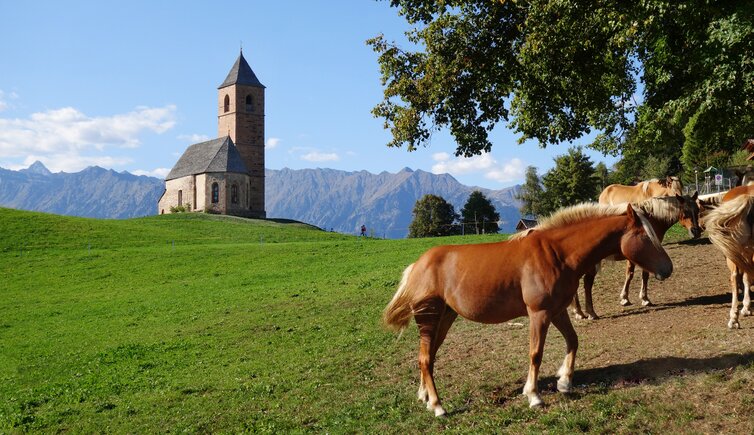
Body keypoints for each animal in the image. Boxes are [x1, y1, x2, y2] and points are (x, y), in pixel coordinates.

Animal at [382, 203, 668, 414]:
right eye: (645, 236)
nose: (668, 268)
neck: (557, 254)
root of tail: (417, 265)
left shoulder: (558, 311)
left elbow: (573, 341)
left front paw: (565, 382)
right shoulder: (538, 314)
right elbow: (536, 354)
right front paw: (534, 395)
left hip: (444, 319)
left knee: (427, 357)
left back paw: (425, 396)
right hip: (429, 319)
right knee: (425, 359)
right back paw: (438, 406)